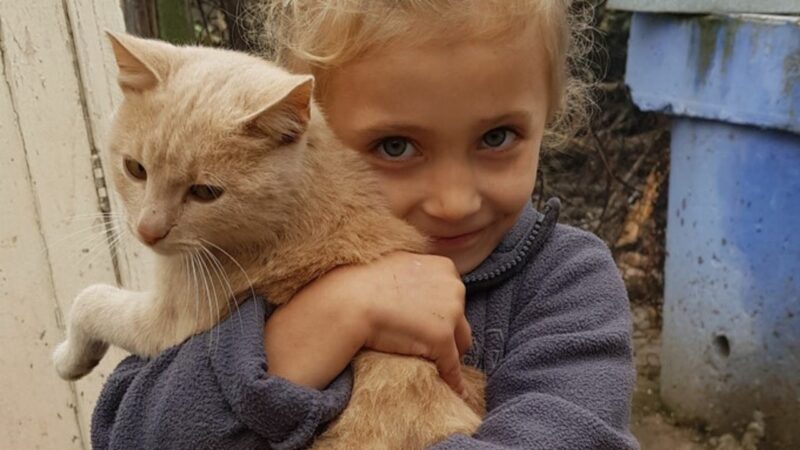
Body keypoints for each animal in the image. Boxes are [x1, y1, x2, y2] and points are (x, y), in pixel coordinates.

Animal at [54, 32, 488, 450]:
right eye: (135, 169)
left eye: (205, 192)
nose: (148, 230)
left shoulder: (168, 321)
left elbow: (90, 299)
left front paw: (68, 359)